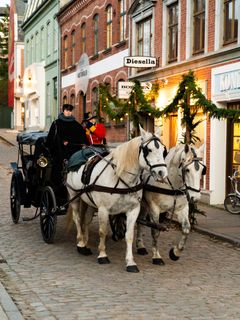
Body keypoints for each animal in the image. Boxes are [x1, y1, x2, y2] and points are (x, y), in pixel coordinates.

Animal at [65, 127, 167, 272]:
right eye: (148, 150)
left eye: (163, 150)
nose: (162, 173)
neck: (120, 177)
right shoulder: (103, 209)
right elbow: (102, 231)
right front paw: (102, 255)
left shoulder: (133, 210)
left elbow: (129, 235)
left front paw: (130, 262)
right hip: (74, 196)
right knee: (77, 218)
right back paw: (81, 243)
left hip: (89, 202)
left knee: (86, 221)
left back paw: (86, 242)